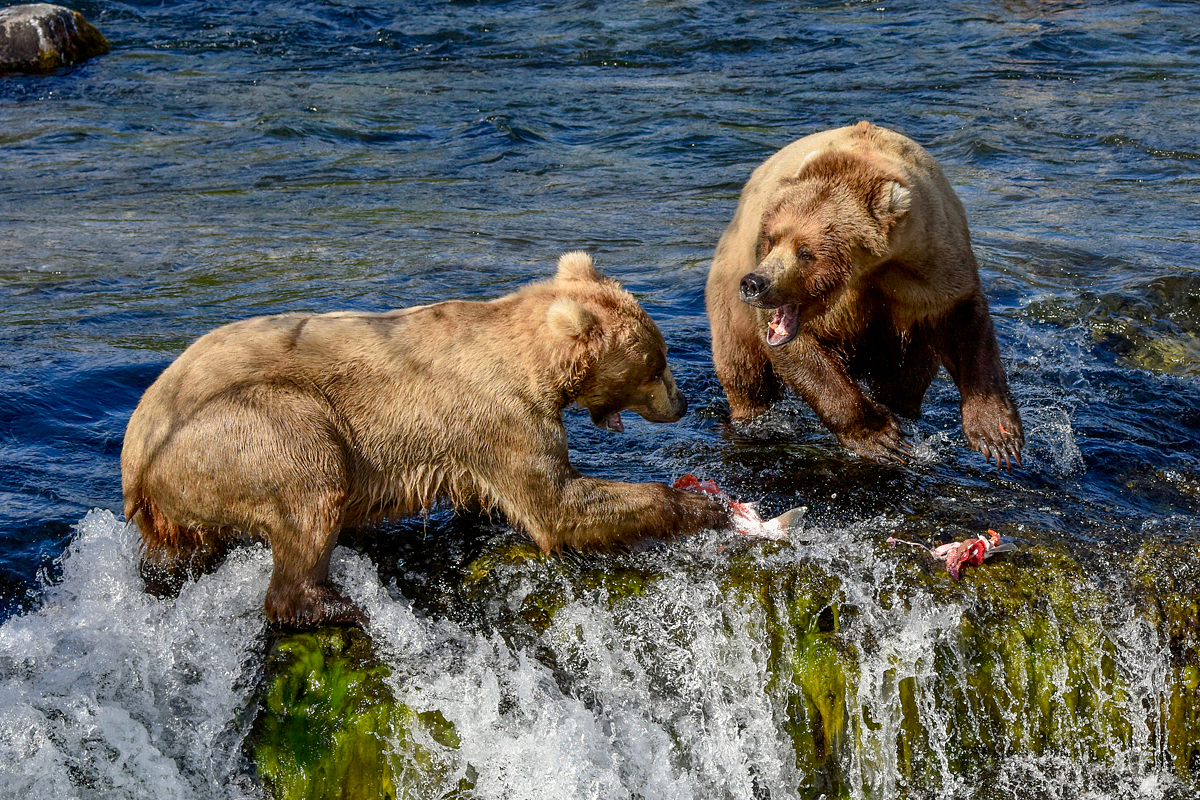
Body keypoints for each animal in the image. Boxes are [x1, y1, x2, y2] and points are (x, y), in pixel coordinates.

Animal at [121, 253, 729, 628]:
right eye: (658, 361)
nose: (682, 402)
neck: (535, 364)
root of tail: (134, 460)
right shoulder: (499, 415)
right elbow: (556, 502)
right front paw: (701, 504)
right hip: (235, 430)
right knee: (313, 480)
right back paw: (331, 604)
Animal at [705, 121, 1027, 465]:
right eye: (772, 238)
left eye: (806, 252)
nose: (755, 283)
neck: (872, 265)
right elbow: (803, 357)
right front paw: (882, 438)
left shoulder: (934, 263)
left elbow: (964, 323)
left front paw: (997, 435)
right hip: (729, 291)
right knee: (743, 369)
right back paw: (754, 420)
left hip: (910, 345)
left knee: (904, 381)